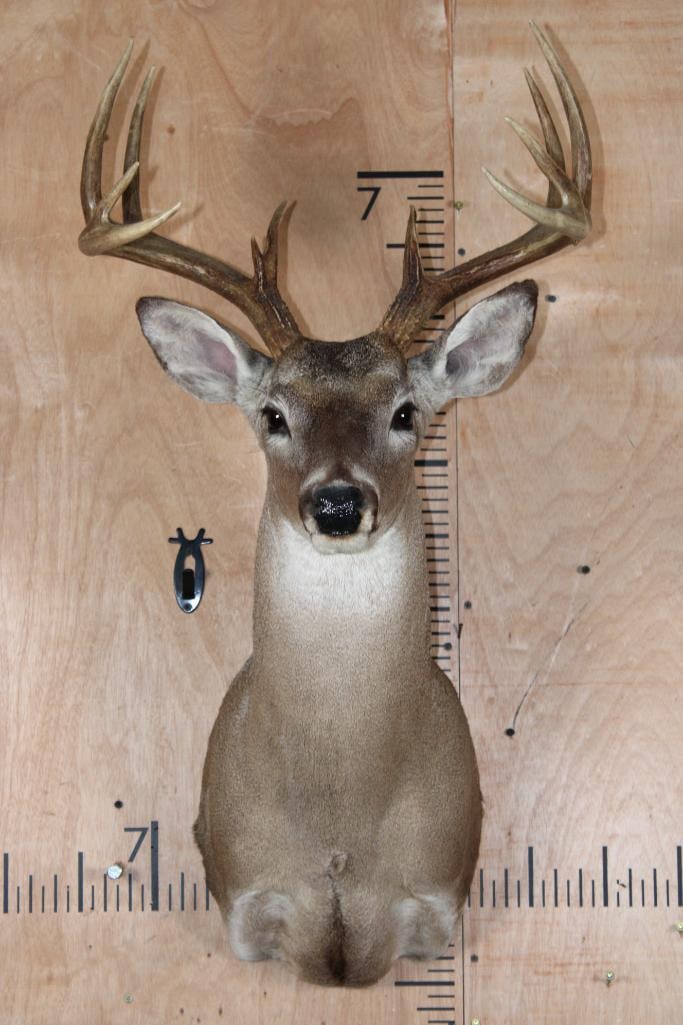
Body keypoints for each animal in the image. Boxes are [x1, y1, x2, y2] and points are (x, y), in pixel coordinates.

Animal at [79, 23, 591, 987]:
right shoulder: (244, 896)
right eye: (273, 415)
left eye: (407, 412)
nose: (339, 502)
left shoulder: (437, 892)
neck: (339, 822)